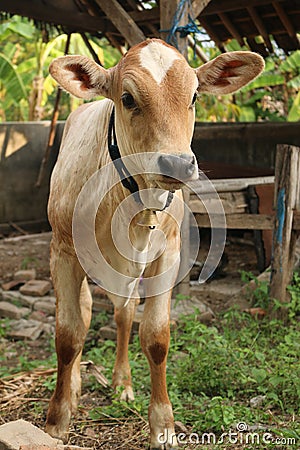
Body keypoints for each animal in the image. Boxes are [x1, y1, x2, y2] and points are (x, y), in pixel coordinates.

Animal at [45, 39, 264, 450]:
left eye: (194, 96)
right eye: (128, 98)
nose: (176, 164)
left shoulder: (169, 256)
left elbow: (156, 337)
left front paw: (162, 425)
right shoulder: (63, 251)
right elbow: (68, 335)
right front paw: (56, 420)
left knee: (124, 314)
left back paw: (122, 382)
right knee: (85, 313)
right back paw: (77, 385)